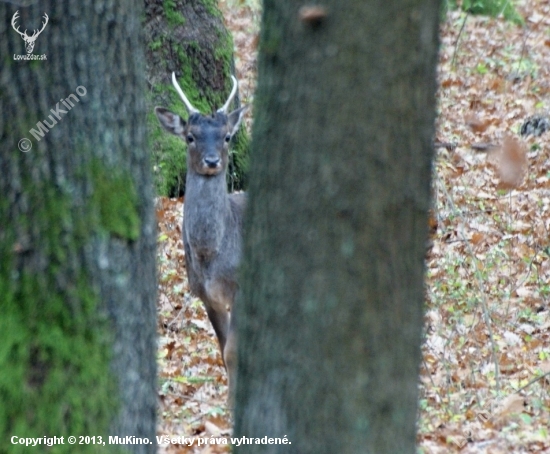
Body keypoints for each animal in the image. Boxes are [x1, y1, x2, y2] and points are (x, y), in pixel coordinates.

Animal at [156, 72, 249, 400]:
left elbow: (233, 351)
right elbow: (223, 350)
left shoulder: (241, 287)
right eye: (190, 136)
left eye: (227, 136)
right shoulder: (206, 295)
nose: (211, 161)